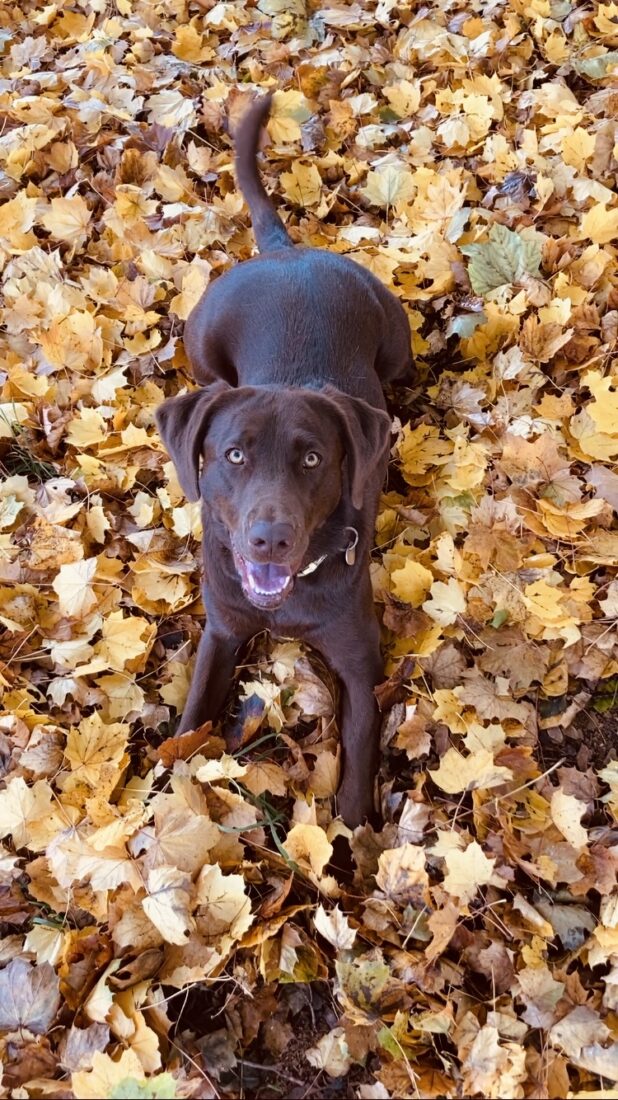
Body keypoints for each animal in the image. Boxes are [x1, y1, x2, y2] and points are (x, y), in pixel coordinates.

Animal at [156, 94, 411, 827]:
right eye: (233, 453)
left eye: (314, 458)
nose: (270, 538)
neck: (284, 602)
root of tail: (285, 250)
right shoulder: (221, 631)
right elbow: (191, 719)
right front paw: (163, 795)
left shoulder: (358, 660)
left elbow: (358, 754)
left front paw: (353, 840)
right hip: (201, 345)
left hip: (396, 339)